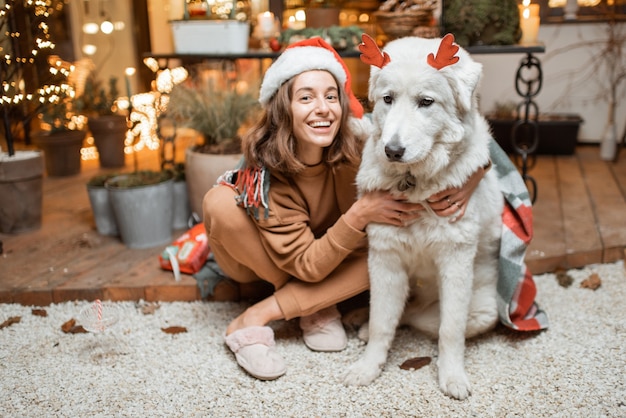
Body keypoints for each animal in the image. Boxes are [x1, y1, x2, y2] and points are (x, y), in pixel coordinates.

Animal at [344, 34, 504, 400]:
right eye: (388, 99)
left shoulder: (455, 263)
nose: (392, 150)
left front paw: (452, 377)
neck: (414, 183)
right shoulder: (384, 258)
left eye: (426, 102)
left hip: (483, 311)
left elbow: (450, 330)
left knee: (418, 316)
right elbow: (381, 322)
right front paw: (368, 367)